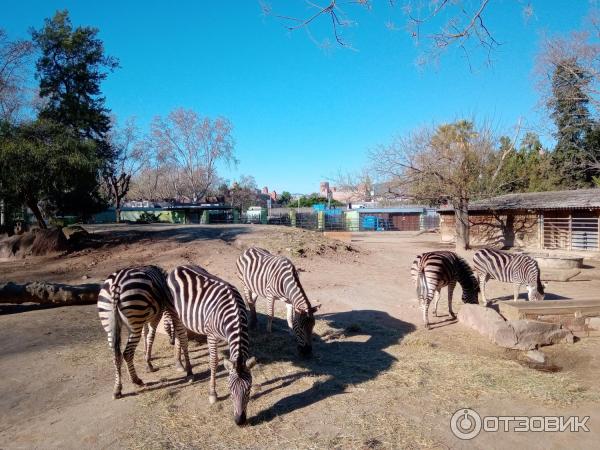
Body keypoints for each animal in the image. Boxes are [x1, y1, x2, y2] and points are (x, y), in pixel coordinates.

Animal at [96, 266, 191, 400]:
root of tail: (116, 283)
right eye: (168, 328)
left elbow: (145, 335)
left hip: (110, 322)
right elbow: (151, 337)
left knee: (116, 356)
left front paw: (147, 356)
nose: (171, 342)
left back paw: (117, 389)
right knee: (127, 353)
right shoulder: (155, 317)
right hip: (135, 315)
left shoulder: (145, 319)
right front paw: (148, 364)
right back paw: (136, 380)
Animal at [166, 264, 255, 426]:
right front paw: (213, 394)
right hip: (174, 312)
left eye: (249, 389)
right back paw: (189, 372)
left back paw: (178, 363)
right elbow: (214, 362)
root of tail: (179, 266)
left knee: (178, 338)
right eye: (230, 389)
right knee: (183, 340)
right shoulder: (212, 336)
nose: (239, 421)